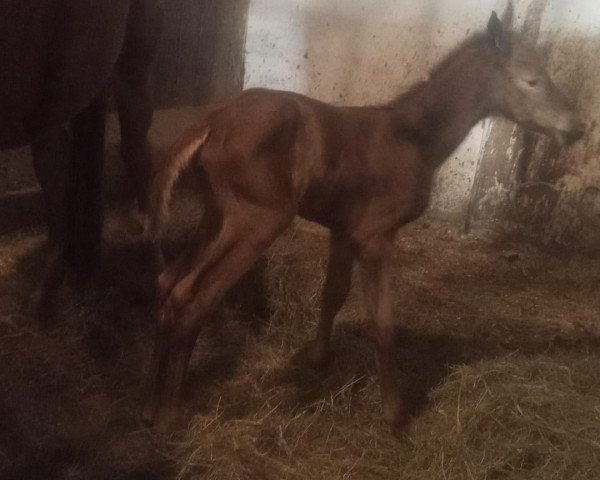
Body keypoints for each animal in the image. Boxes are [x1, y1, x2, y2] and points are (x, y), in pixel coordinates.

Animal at [145, 13, 580, 430]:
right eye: (532, 80)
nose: (574, 129)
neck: (413, 138)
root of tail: (214, 120)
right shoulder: (376, 236)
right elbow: (383, 323)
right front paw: (396, 415)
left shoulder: (343, 229)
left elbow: (333, 293)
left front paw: (319, 359)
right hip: (256, 223)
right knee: (190, 296)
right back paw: (169, 415)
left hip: (217, 215)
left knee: (167, 282)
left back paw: (152, 393)